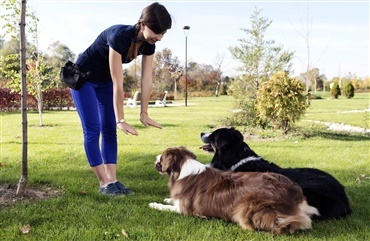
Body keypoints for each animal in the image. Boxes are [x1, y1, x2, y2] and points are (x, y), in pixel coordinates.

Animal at [149, 146, 320, 234]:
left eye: (162, 157)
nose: (155, 157)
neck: (182, 169)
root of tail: (295, 193)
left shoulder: (183, 210)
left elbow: (165, 207)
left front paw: (154, 204)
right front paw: (167, 198)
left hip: (248, 208)